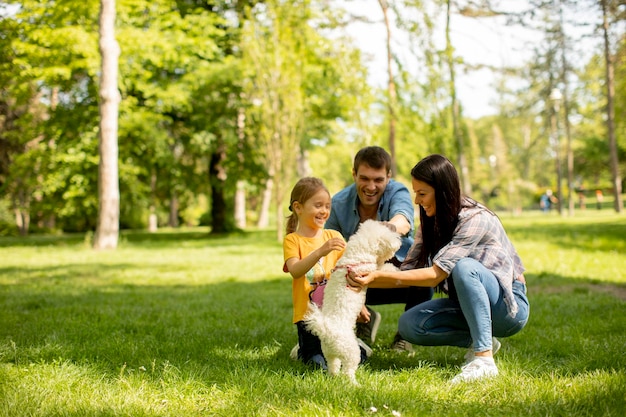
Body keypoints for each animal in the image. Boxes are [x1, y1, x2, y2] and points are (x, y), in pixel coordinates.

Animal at [302, 219, 400, 382]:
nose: (398, 244)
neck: (357, 255)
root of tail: (327, 330)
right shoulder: (368, 272)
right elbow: (381, 269)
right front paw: (393, 270)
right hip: (351, 352)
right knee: (348, 370)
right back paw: (354, 383)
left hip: (330, 353)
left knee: (333, 365)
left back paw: (334, 377)